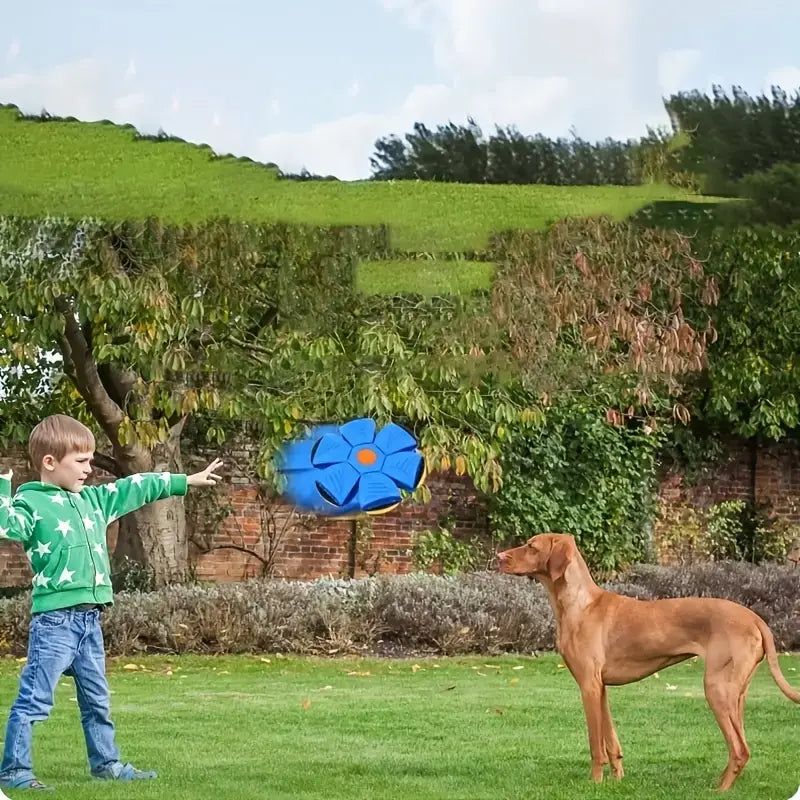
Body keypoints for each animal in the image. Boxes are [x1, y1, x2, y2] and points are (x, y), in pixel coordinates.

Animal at [496, 536, 796, 792]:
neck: (581, 605)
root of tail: (755, 618)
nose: (498, 557)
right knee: (741, 745)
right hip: (737, 695)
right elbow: (611, 742)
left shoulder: (588, 685)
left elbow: (595, 745)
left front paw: (595, 783)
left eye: (531, 546)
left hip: (716, 689)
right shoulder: (600, 687)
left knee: (740, 749)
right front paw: (617, 780)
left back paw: (720, 790)